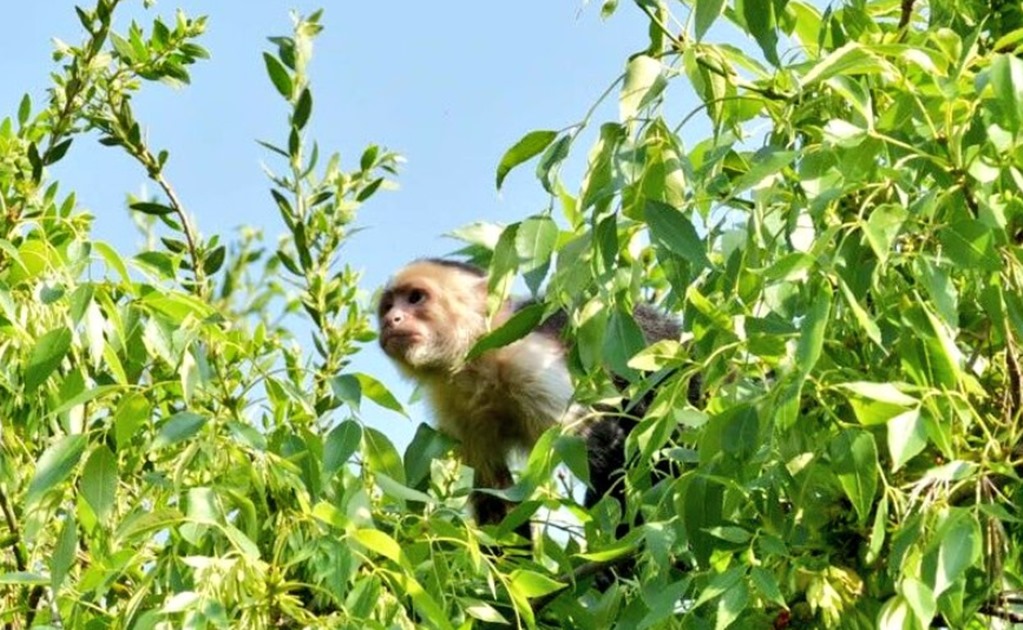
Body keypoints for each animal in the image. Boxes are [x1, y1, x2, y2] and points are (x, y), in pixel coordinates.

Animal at [378, 258, 687, 535]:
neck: (476, 365)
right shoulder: (455, 408)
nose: (390, 320)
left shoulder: (528, 362)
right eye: (387, 307)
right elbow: (496, 500)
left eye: (416, 298)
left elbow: (610, 452)